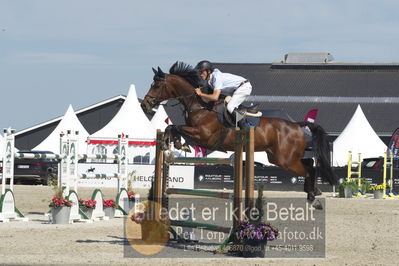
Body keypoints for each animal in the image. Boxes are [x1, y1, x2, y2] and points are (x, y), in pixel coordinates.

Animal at [142, 61, 336, 205]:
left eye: (157, 85)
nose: (144, 105)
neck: (200, 105)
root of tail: (296, 125)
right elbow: (172, 128)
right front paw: (174, 143)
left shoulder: (204, 136)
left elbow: (176, 127)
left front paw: (178, 144)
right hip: (279, 157)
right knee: (310, 163)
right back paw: (314, 191)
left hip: (285, 159)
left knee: (308, 169)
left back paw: (312, 197)